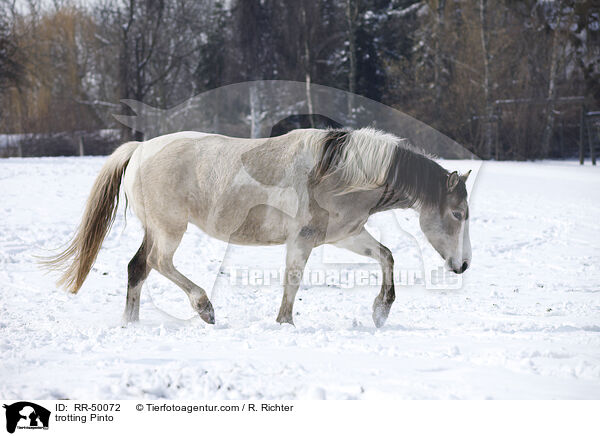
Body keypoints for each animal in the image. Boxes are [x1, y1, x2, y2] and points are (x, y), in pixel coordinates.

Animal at [44, 129, 472, 328]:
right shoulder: (302, 240)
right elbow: (292, 282)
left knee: (138, 267)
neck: (339, 172)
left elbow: (386, 255)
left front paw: (381, 311)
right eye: (457, 214)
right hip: (170, 228)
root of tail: (139, 150)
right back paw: (205, 308)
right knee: (159, 263)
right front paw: (285, 323)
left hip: (157, 228)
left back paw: (132, 324)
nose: (463, 265)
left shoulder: (345, 235)